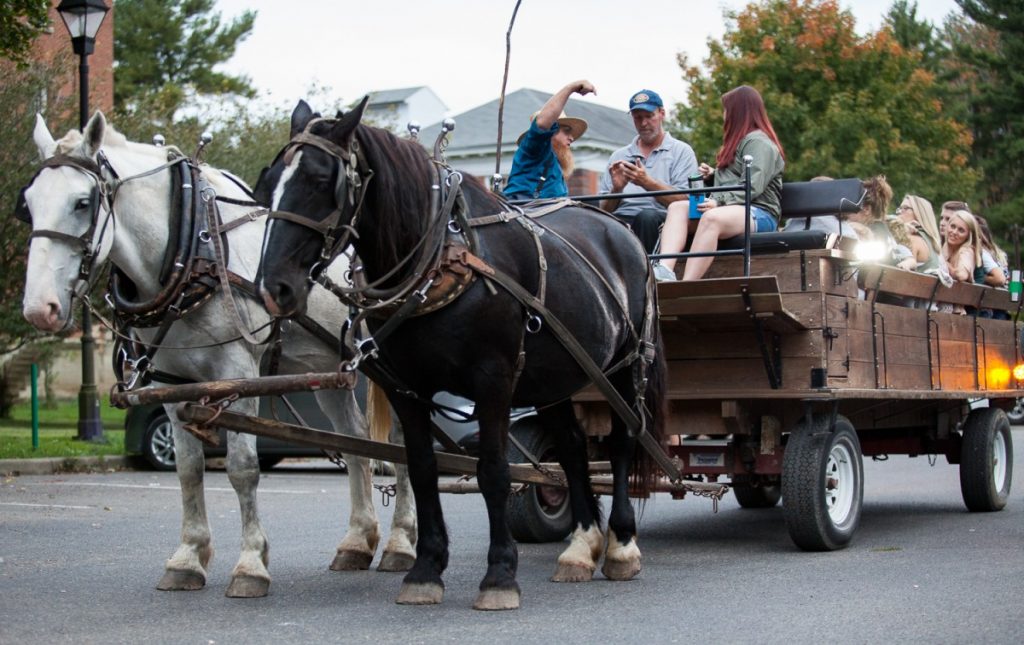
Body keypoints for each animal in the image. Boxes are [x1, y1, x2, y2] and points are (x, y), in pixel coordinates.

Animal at [19, 112, 413, 602]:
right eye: (27, 205)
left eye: (82, 202)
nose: (41, 308)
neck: (191, 251)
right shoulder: (168, 381)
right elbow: (188, 469)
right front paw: (188, 557)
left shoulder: (238, 372)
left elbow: (243, 468)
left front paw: (250, 565)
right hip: (327, 369)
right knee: (356, 440)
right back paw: (358, 541)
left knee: (401, 442)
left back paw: (400, 543)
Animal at [258, 99, 663, 610]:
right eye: (268, 182)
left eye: (318, 180)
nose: (274, 287)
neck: (439, 260)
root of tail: (621, 230)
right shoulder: (407, 389)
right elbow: (422, 470)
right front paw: (425, 569)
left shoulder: (493, 381)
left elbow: (493, 472)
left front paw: (499, 575)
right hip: (556, 376)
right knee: (572, 449)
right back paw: (581, 546)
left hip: (626, 365)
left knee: (624, 440)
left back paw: (622, 544)